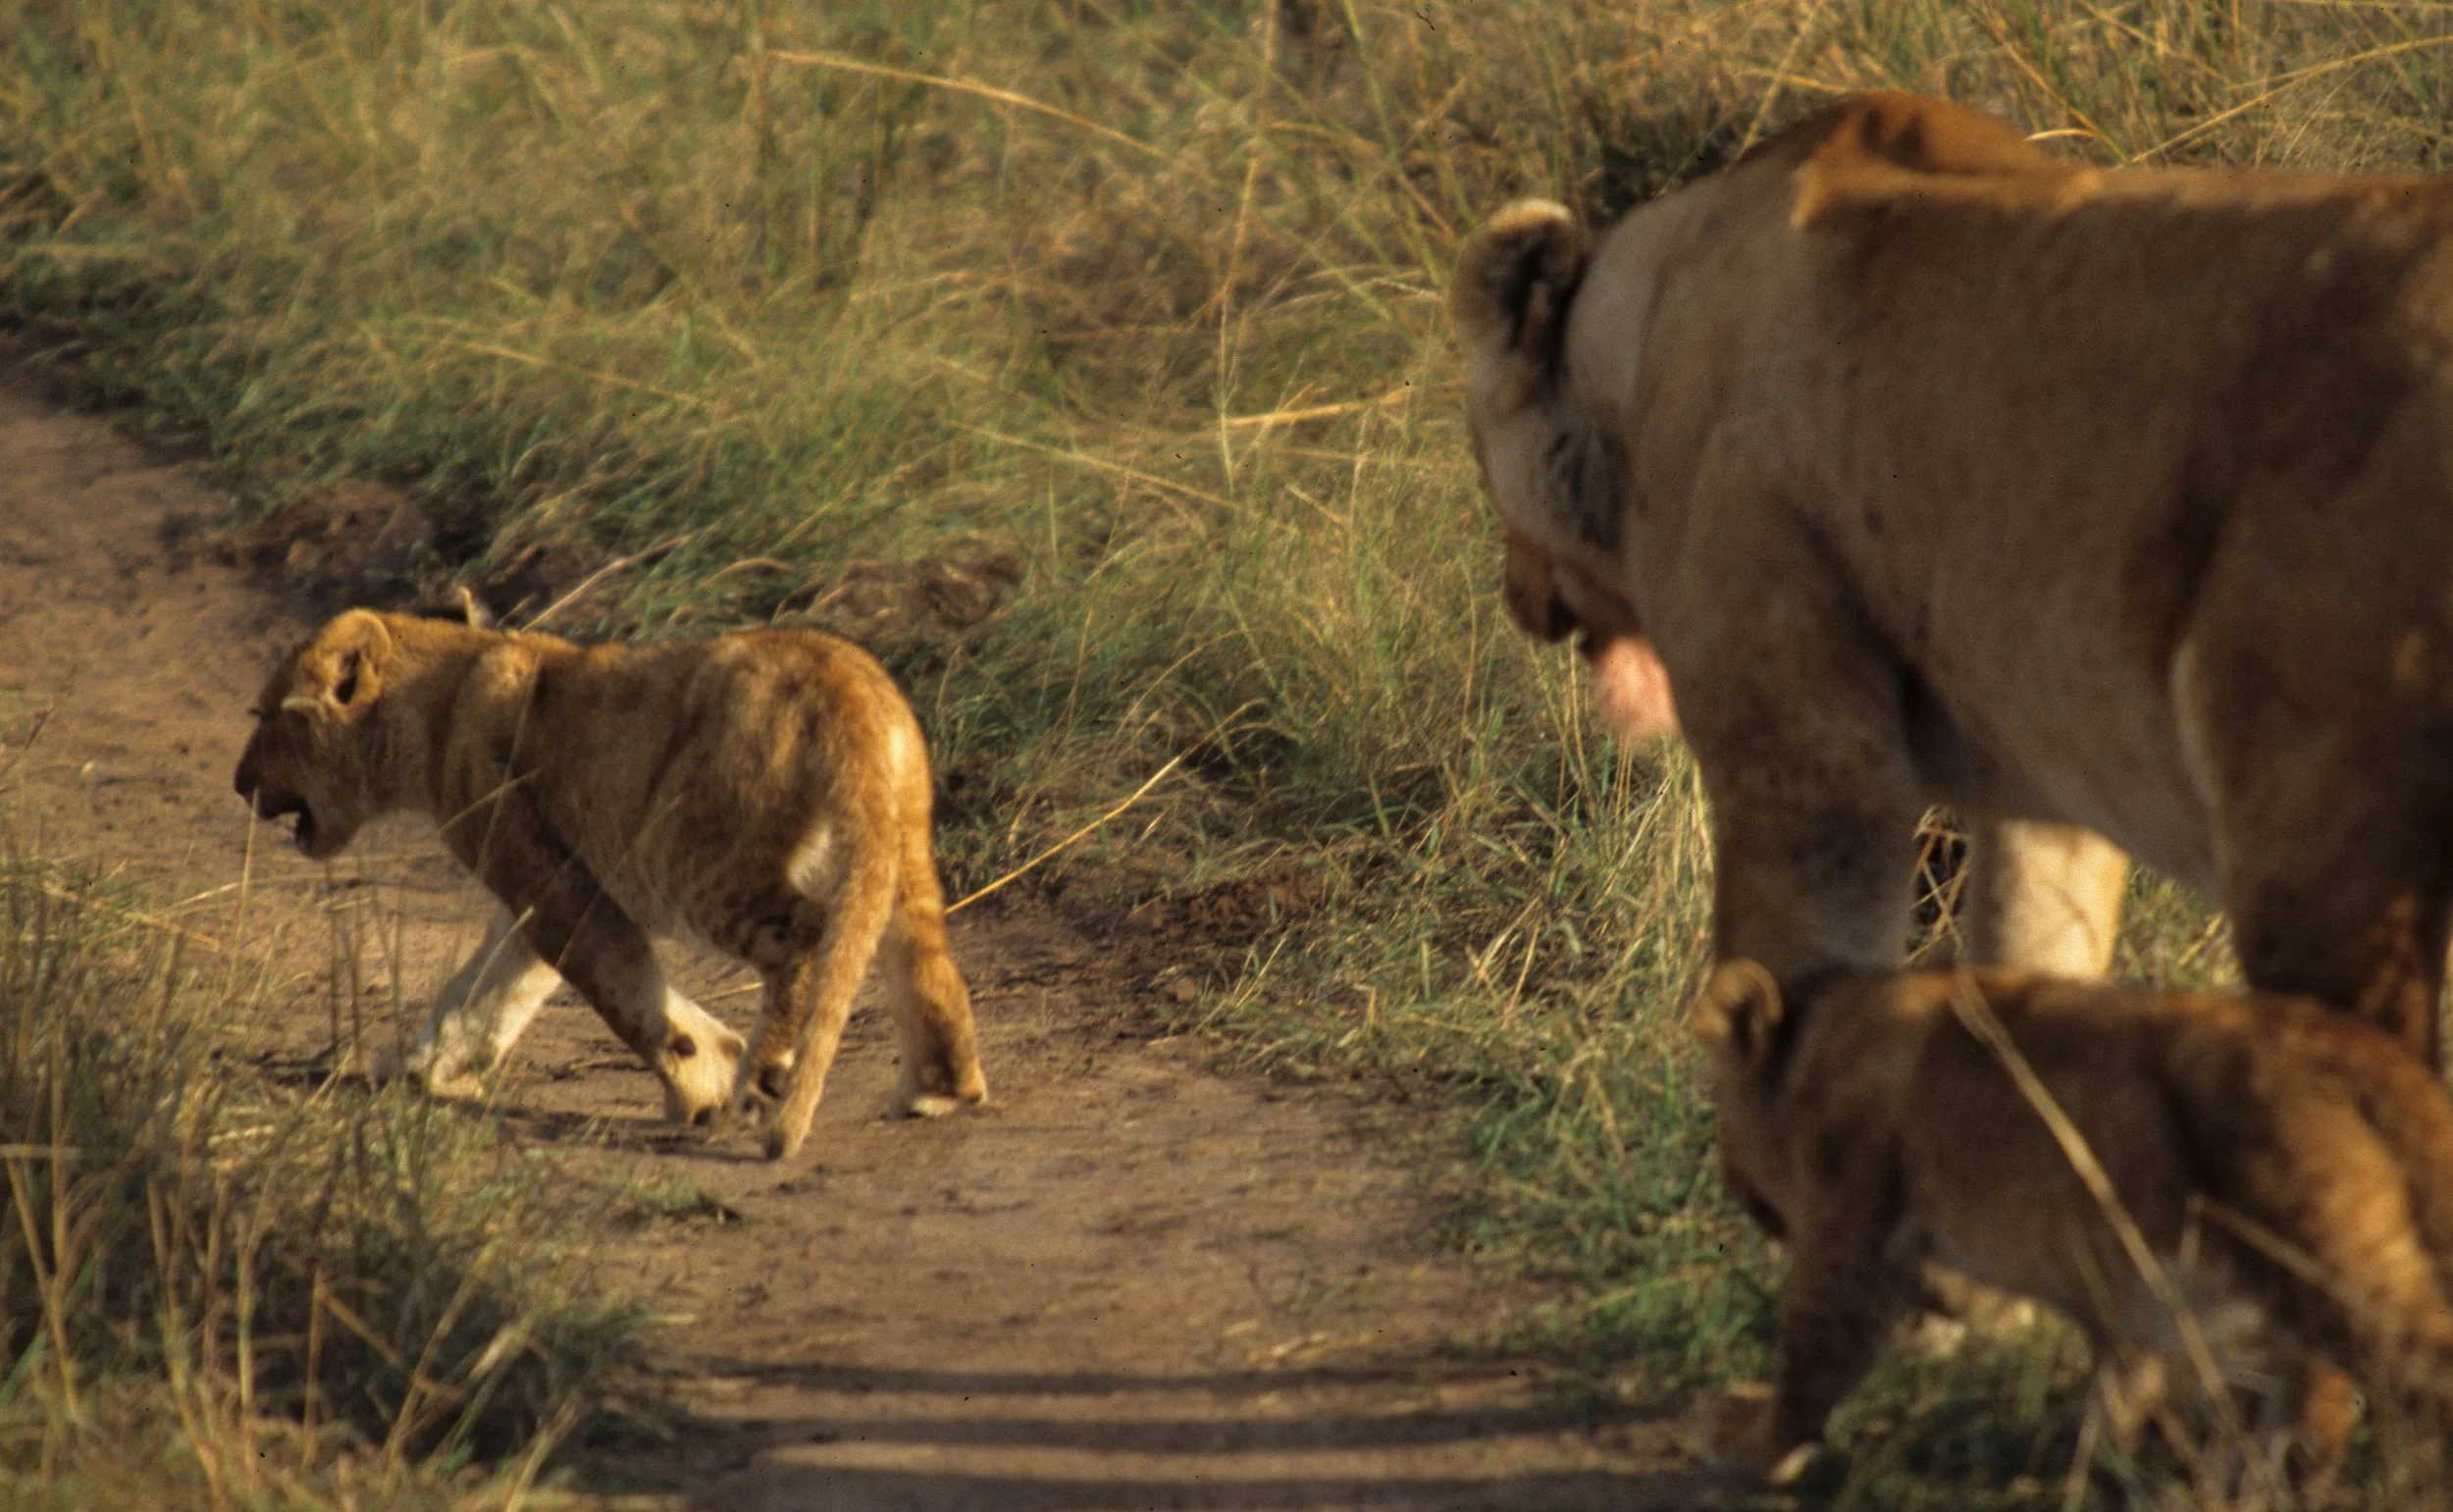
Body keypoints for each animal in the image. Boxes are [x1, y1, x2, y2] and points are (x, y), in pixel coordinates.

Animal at [232, 608, 989, 1159]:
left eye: (264, 719)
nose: (239, 784)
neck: (439, 700)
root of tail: (849, 691)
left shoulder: (556, 885)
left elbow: (624, 995)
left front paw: (702, 1082)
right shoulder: (541, 885)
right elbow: (486, 989)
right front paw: (418, 1068)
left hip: (697, 863)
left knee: (804, 938)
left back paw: (763, 1080)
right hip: (901, 853)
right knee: (926, 965)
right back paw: (941, 1089)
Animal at [1454, 91, 2453, 1063]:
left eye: (1475, 456)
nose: (1510, 596)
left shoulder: (1807, 770)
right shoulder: (2044, 784)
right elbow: (2023, 983)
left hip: (2322, 846)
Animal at [1692, 960, 2453, 1487]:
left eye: (1721, 1110)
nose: (1735, 1188)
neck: (1815, 1040)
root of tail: (2363, 1051)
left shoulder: (1850, 1223)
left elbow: (1810, 1351)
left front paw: (1750, 1439)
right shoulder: (2137, 1303)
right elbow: (2117, 1394)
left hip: (2333, 1261)